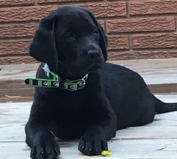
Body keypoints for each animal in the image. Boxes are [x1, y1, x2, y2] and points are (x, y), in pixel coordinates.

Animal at [25, 5, 177, 158]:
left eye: (94, 32)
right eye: (69, 35)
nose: (95, 53)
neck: (71, 84)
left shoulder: (107, 116)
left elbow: (96, 127)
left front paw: (93, 141)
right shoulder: (35, 120)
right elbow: (40, 131)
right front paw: (44, 146)